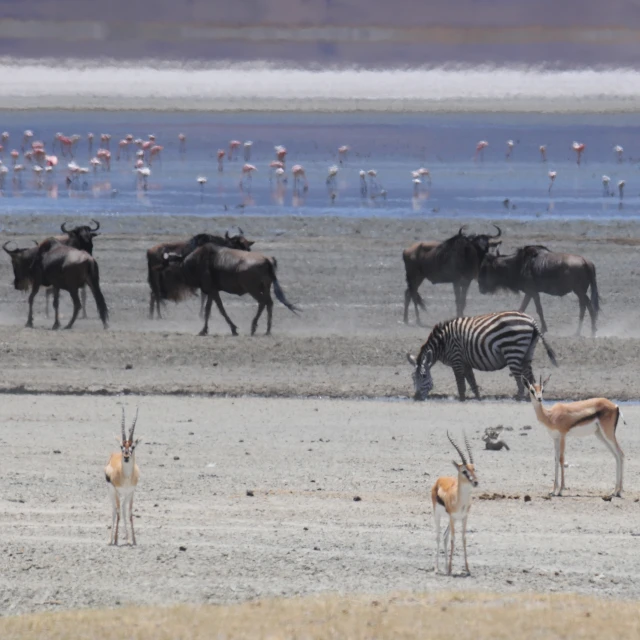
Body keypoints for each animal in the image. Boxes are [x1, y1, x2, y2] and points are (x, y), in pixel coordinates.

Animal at [408, 310, 556, 400]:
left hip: (513, 350)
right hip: (527, 351)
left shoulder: (457, 360)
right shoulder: (465, 362)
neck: (443, 343)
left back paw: (518, 397)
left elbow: (461, 385)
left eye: (424, 376)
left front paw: (461, 400)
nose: (416, 397)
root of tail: (531, 320)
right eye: (412, 377)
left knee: (519, 378)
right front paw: (478, 399)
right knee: (530, 377)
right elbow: (472, 382)